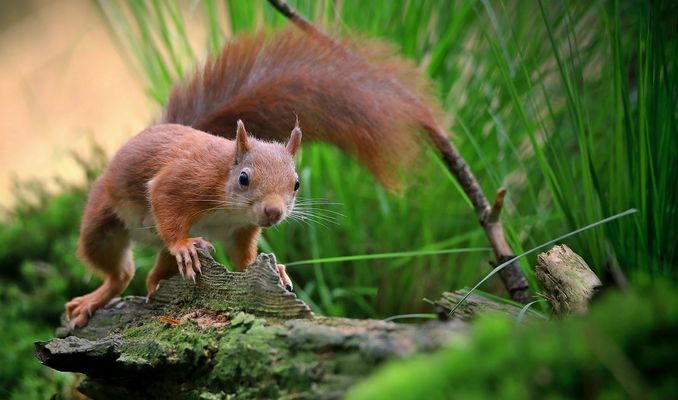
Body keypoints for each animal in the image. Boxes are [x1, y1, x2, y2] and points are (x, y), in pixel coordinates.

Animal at [65, 1, 456, 328]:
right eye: (243, 178)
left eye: (296, 184)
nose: (273, 212)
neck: (227, 203)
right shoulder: (185, 179)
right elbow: (163, 199)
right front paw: (184, 244)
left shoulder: (240, 231)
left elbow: (244, 261)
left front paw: (278, 270)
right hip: (102, 222)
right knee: (117, 270)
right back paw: (94, 299)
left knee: (145, 272)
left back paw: (156, 281)